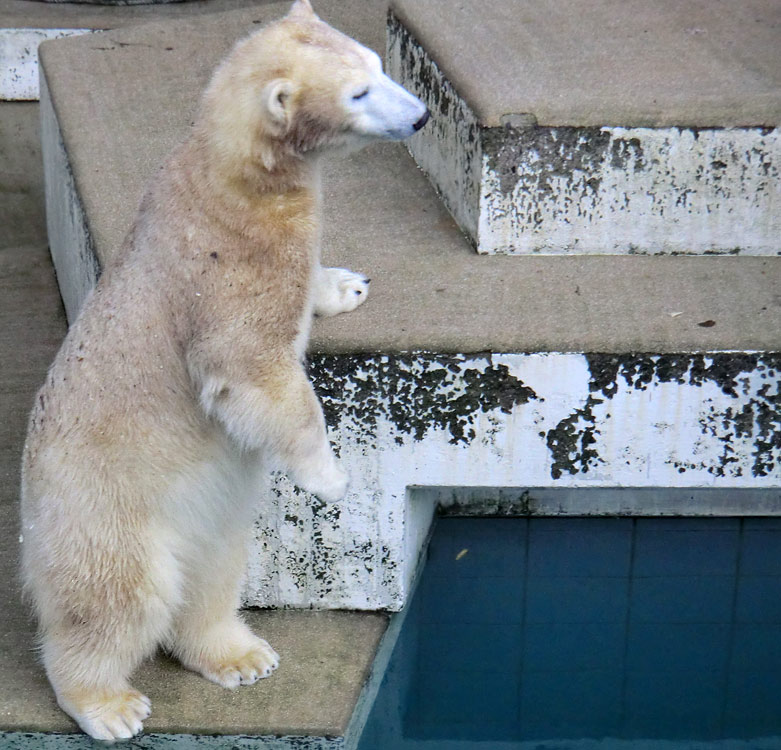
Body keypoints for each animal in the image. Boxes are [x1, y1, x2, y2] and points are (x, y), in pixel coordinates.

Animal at [21, 0, 430, 740]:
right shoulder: (228, 266)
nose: (420, 117)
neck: (234, 174)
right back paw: (108, 705)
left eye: (378, 64)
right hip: (103, 510)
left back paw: (241, 656)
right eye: (358, 92)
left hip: (199, 517)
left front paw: (345, 285)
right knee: (121, 599)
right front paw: (329, 477)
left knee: (213, 572)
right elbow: (252, 371)